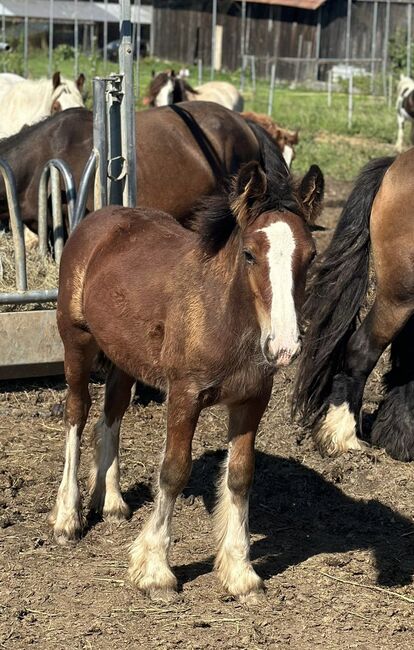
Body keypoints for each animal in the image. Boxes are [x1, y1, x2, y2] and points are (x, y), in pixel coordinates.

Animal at [50, 158, 326, 604]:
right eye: (249, 254)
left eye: (311, 255)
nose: (284, 346)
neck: (224, 315)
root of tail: (100, 217)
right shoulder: (185, 395)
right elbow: (174, 470)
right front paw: (155, 570)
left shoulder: (252, 399)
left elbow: (241, 475)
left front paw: (240, 572)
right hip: (77, 339)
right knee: (77, 412)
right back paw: (66, 517)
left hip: (124, 355)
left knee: (112, 413)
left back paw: (111, 501)